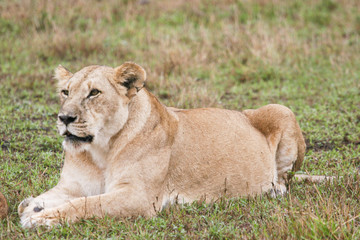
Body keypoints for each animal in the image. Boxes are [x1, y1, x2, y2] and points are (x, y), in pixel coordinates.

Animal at [19, 62, 306, 227]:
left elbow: (86, 204)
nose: (64, 118)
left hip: (281, 109)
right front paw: (33, 205)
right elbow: (49, 197)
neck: (100, 151)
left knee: (284, 180)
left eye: (94, 93)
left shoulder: (139, 197)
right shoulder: (72, 186)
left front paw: (42, 217)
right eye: (65, 92)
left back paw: (273, 190)